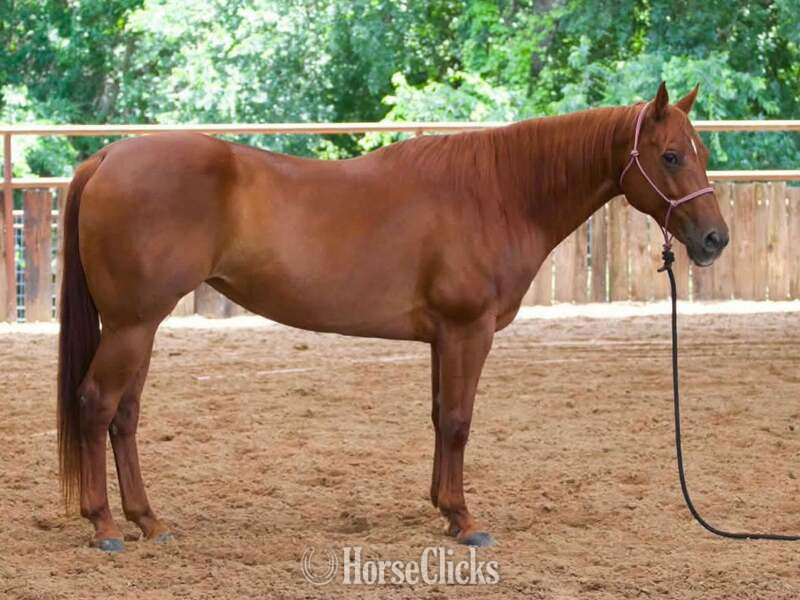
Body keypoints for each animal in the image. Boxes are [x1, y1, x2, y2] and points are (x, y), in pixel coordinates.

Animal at [57, 82, 728, 552]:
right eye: (671, 156)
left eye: (699, 152)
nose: (715, 239)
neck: (498, 193)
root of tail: (107, 157)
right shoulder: (467, 331)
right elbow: (458, 421)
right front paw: (466, 521)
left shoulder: (442, 338)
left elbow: (438, 418)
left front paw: (443, 509)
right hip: (131, 326)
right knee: (96, 405)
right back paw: (105, 526)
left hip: (142, 327)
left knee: (125, 417)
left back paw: (150, 522)